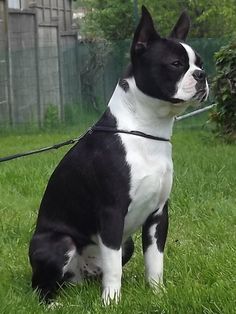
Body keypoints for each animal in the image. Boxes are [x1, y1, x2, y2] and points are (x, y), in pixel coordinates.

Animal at [29, 6, 208, 306]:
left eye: (200, 63)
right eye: (175, 64)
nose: (202, 75)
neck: (144, 131)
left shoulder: (158, 214)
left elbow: (155, 261)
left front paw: (157, 294)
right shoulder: (112, 214)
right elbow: (114, 269)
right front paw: (111, 301)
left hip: (127, 244)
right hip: (60, 243)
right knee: (42, 285)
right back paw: (52, 303)